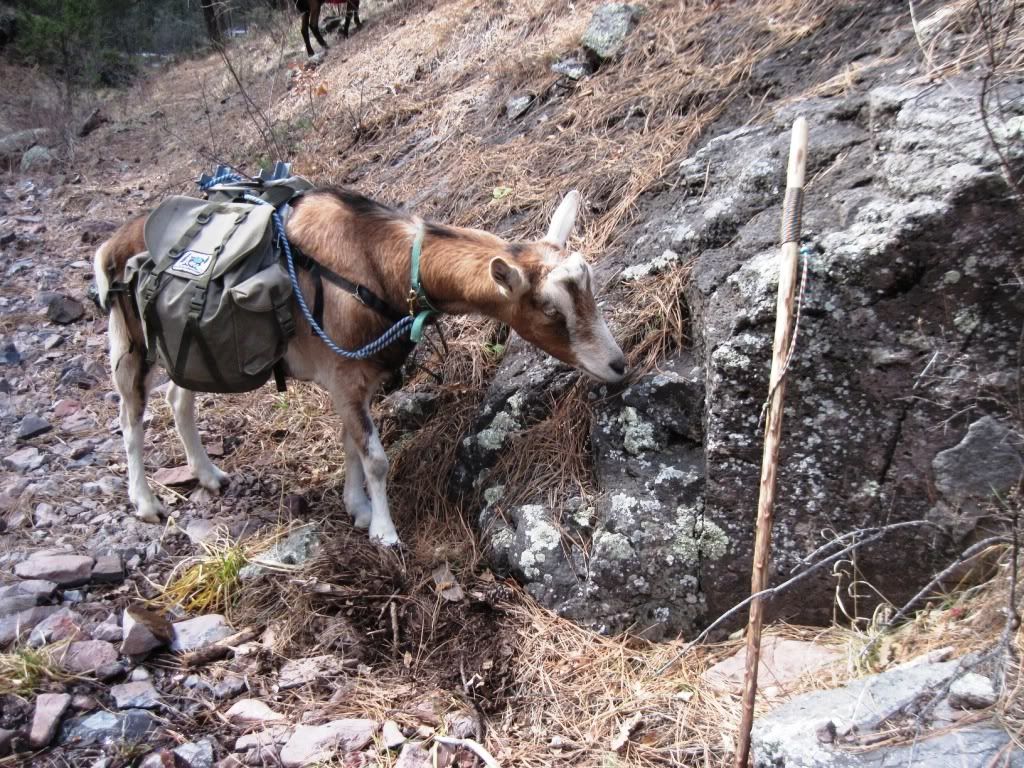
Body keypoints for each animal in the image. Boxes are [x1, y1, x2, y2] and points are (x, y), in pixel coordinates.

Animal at [93, 188, 627, 546]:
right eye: (551, 311)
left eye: (589, 288)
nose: (618, 365)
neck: (377, 261)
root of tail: (110, 245)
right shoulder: (345, 373)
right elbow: (375, 457)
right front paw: (385, 532)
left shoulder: (351, 378)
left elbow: (351, 442)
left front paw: (358, 508)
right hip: (133, 342)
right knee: (129, 417)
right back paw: (146, 503)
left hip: (191, 350)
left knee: (177, 396)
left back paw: (208, 475)